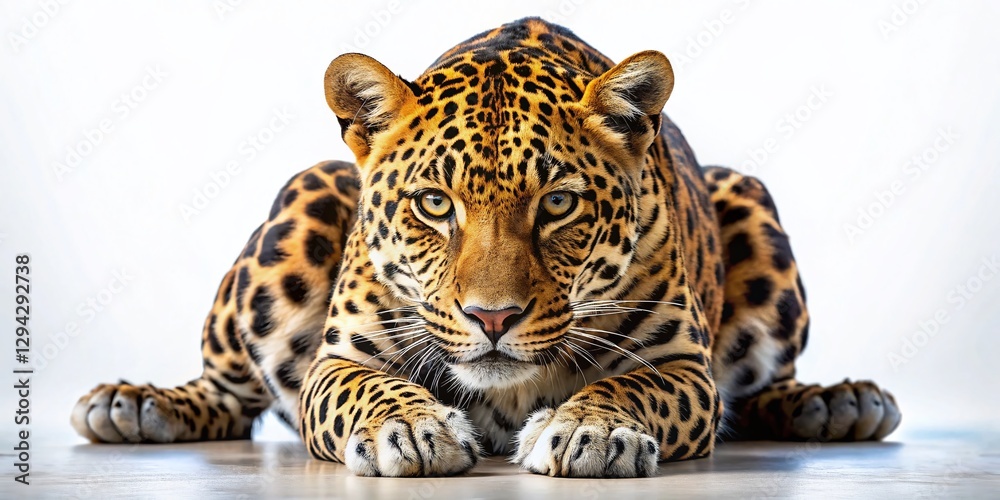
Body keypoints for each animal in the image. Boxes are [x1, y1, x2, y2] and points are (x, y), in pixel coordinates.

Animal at [71, 17, 901, 478]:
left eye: (558, 203)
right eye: (435, 205)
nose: (492, 319)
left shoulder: (681, 368)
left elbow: (633, 388)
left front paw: (590, 431)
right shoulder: (340, 359)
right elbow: (364, 391)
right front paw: (410, 430)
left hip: (751, 202)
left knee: (758, 389)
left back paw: (836, 404)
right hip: (304, 199)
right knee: (231, 391)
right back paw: (136, 405)